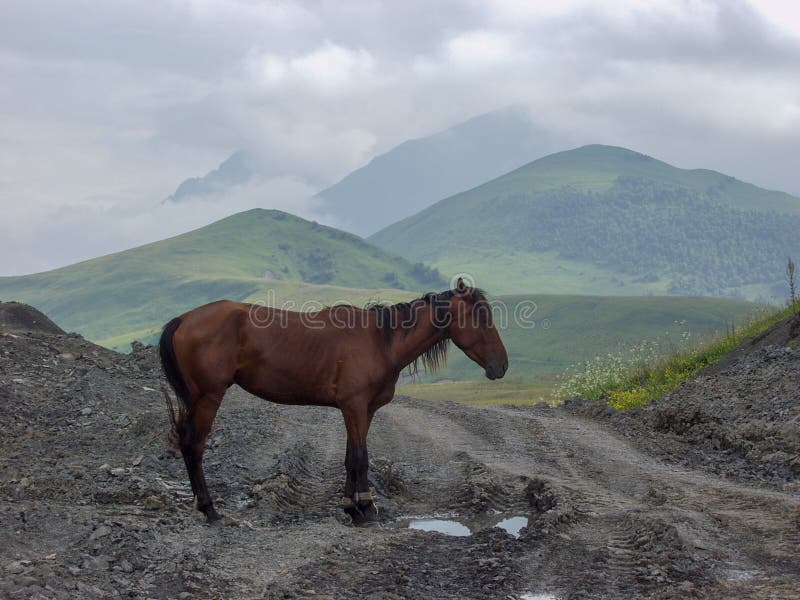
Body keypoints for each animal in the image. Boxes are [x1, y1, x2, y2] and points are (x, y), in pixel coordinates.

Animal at [159, 278, 506, 524]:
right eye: (480, 316)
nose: (501, 366)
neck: (379, 342)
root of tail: (184, 319)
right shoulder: (354, 406)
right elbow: (361, 457)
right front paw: (366, 509)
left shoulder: (363, 410)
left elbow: (351, 456)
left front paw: (351, 507)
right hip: (208, 397)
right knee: (194, 446)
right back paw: (209, 510)